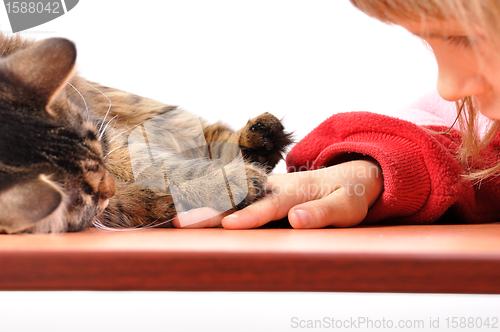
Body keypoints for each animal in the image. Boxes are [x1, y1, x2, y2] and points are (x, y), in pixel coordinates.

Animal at [0, 34, 292, 233]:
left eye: (101, 151)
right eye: (87, 191)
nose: (111, 185)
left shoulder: (110, 140)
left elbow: (169, 169)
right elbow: (158, 193)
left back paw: (261, 138)